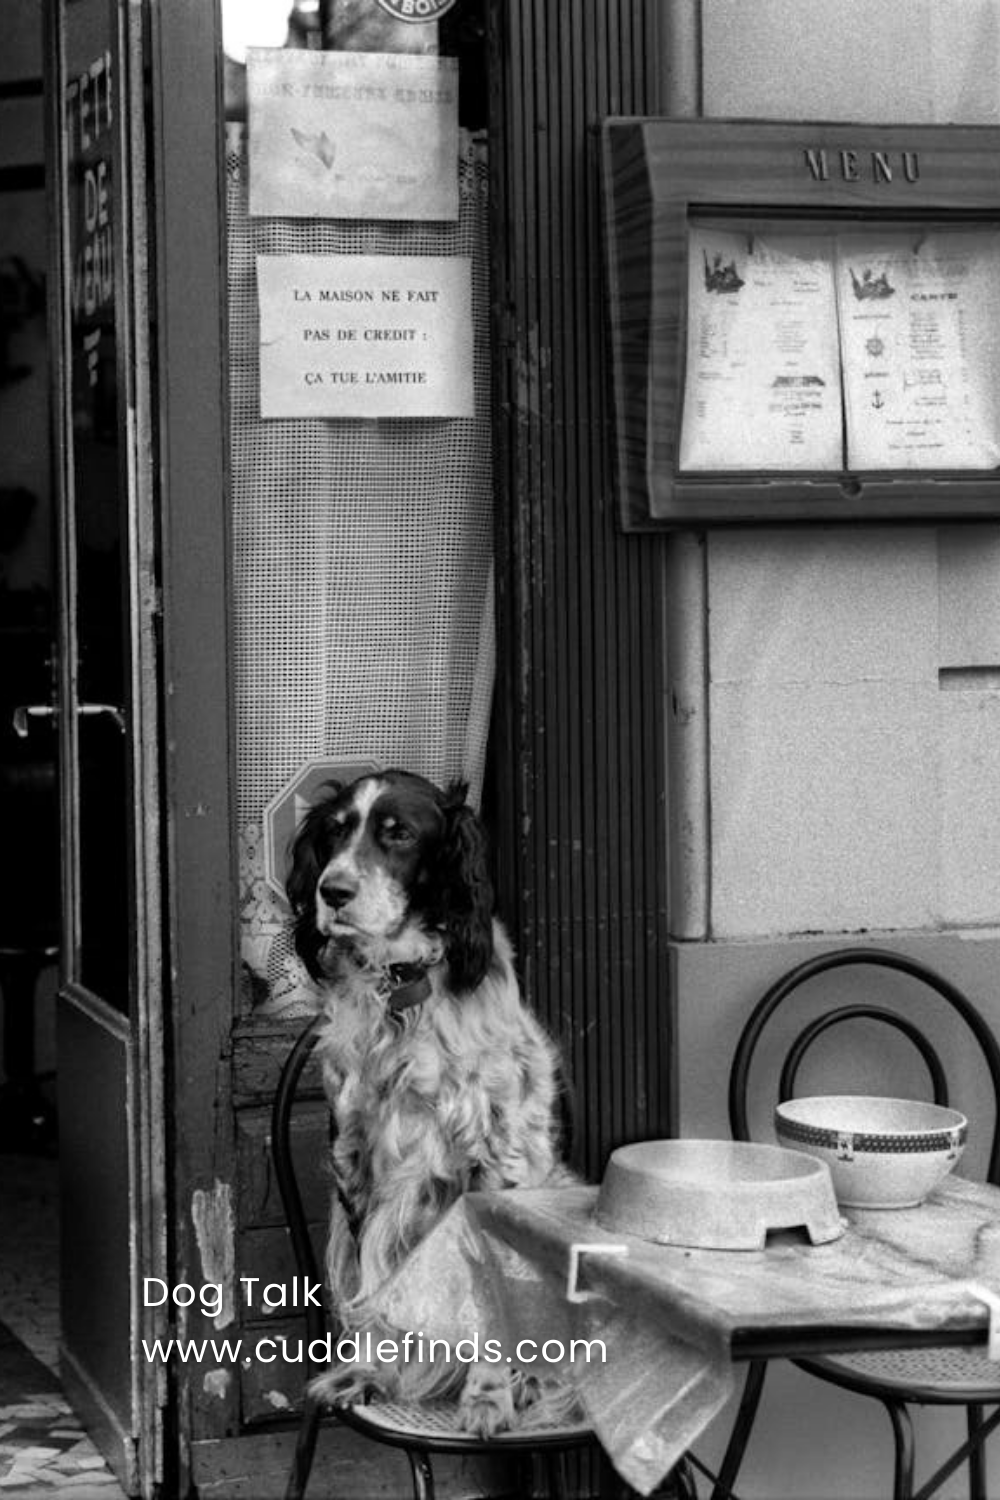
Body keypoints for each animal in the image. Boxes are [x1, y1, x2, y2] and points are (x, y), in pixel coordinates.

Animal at [284, 768, 575, 1434]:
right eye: (336, 831)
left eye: (399, 834)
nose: (332, 890)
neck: (402, 990)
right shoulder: (355, 1159)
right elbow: (372, 1284)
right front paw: (364, 1372)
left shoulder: (494, 1163)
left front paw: (488, 1399)